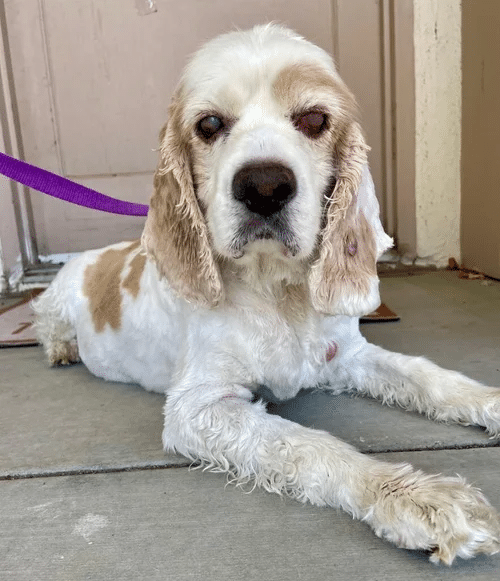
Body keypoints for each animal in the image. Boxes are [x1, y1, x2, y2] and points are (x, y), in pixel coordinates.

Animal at [33, 24, 500, 564]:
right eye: (209, 123)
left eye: (315, 119)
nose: (264, 187)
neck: (277, 292)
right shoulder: (199, 408)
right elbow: (310, 446)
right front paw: (420, 500)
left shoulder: (347, 355)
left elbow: (431, 378)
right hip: (53, 303)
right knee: (45, 322)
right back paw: (60, 349)